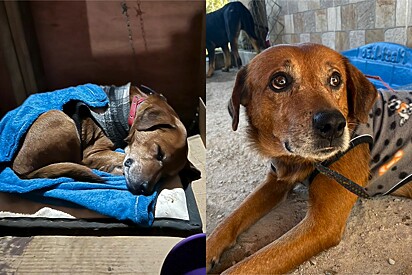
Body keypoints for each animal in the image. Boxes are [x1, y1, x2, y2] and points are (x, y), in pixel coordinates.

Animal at [11, 83, 200, 195]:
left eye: (166, 175)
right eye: (159, 153)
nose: (144, 189)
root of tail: (19, 170)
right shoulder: (93, 152)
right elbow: (120, 156)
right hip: (62, 119)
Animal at [208, 43, 410, 274]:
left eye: (335, 79)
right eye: (280, 81)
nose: (333, 125)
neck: (298, 161)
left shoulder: (322, 225)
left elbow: (245, 266)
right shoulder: (276, 182)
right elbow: (230, 220)